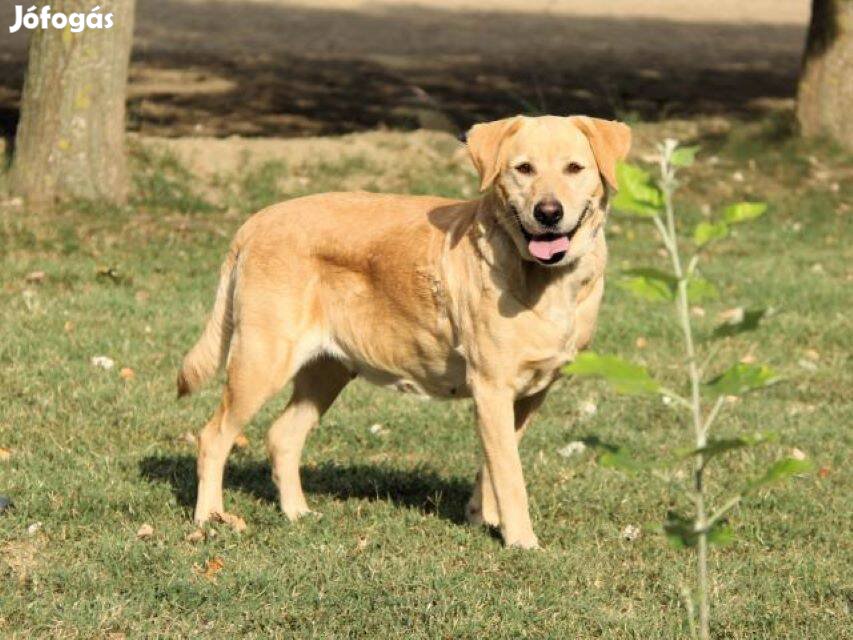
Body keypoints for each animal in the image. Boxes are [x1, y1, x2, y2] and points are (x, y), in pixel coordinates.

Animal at [180, 115, 628, 544]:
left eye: (574, 168)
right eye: (524, 168)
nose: (548, 212)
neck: (546, 280)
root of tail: (254, 222)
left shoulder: (530, 393)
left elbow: (494, 466)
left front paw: (483, 518)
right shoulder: (492, 387)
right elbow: (511, 477)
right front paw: (522, 541)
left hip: (327, 370)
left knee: (282, 436)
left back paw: (297, 513)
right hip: (261, 361)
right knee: (213, 437)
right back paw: (209, 519)